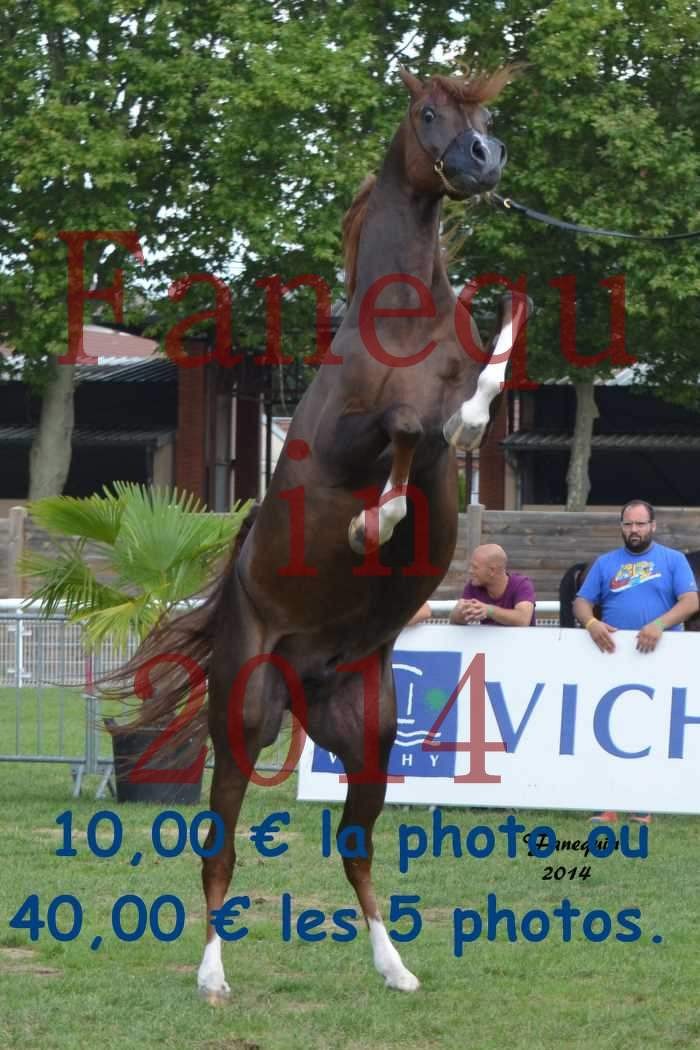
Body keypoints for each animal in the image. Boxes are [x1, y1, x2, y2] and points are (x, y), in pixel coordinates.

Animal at [116, 61, 531, 995]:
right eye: (429, 113)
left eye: (485, 117)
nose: (483, 161)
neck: (404, 322)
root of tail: (306, 677)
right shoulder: (350, 440)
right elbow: (407, 428)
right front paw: (374, 521)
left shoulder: (455, 426)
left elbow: (479, 393)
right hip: (244, 720)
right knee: (219, 852)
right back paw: (213, 977)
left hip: (369, 738)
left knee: (356, 848)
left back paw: (395, 967)